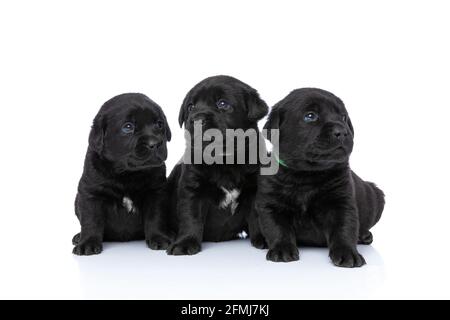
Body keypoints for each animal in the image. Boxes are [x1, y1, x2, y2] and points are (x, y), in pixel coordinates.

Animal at [72, 92, 172, 255]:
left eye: (159, 124)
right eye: (128, 127)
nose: (155, 143)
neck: (127, 174)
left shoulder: (156, 192)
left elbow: (155, 217)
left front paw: (159, 238)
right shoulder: (90, 193)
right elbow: (91, 220)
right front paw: (87, 243)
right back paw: (78, 237)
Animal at [167, 75, 268, 255]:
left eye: (222, 104)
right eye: (190, 107)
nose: (196, 119)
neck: (224, 161)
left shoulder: (255, 187)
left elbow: (257, 214)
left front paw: (263, 238)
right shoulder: (192, 188)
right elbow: (191, 217)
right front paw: (185, 242)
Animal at [255, 88, 384, 268]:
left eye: (343, 117)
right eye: (310, 116)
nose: (342, 132)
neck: (306, 175)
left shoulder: (341, 203)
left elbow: (344, 229)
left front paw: (348, 253)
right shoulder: (271, 204)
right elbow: (277, 228)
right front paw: (282, 250)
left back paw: (364, 235)